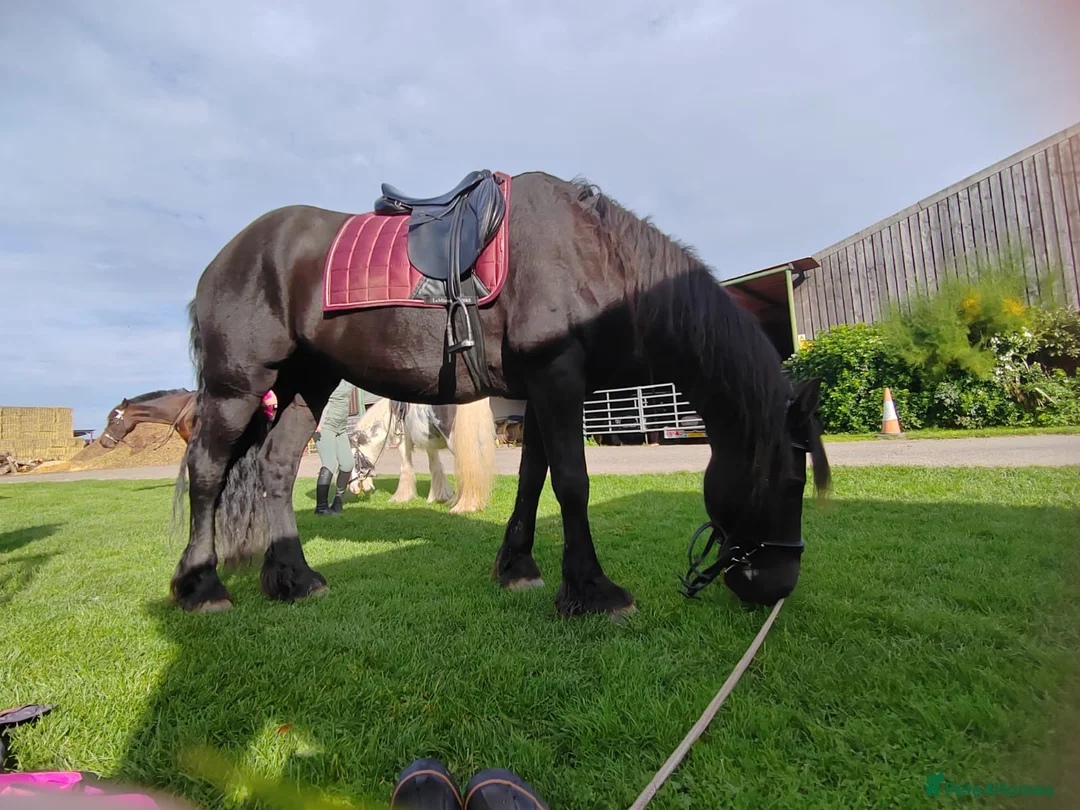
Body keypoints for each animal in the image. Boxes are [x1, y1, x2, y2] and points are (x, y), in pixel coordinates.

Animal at [346, 397, 496, 514]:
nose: (352, 488)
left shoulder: (403, 443)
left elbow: (405, 468)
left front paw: (400, 497)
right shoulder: (430, 445)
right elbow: (435, 467)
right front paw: (438, 497)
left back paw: (464, 507)